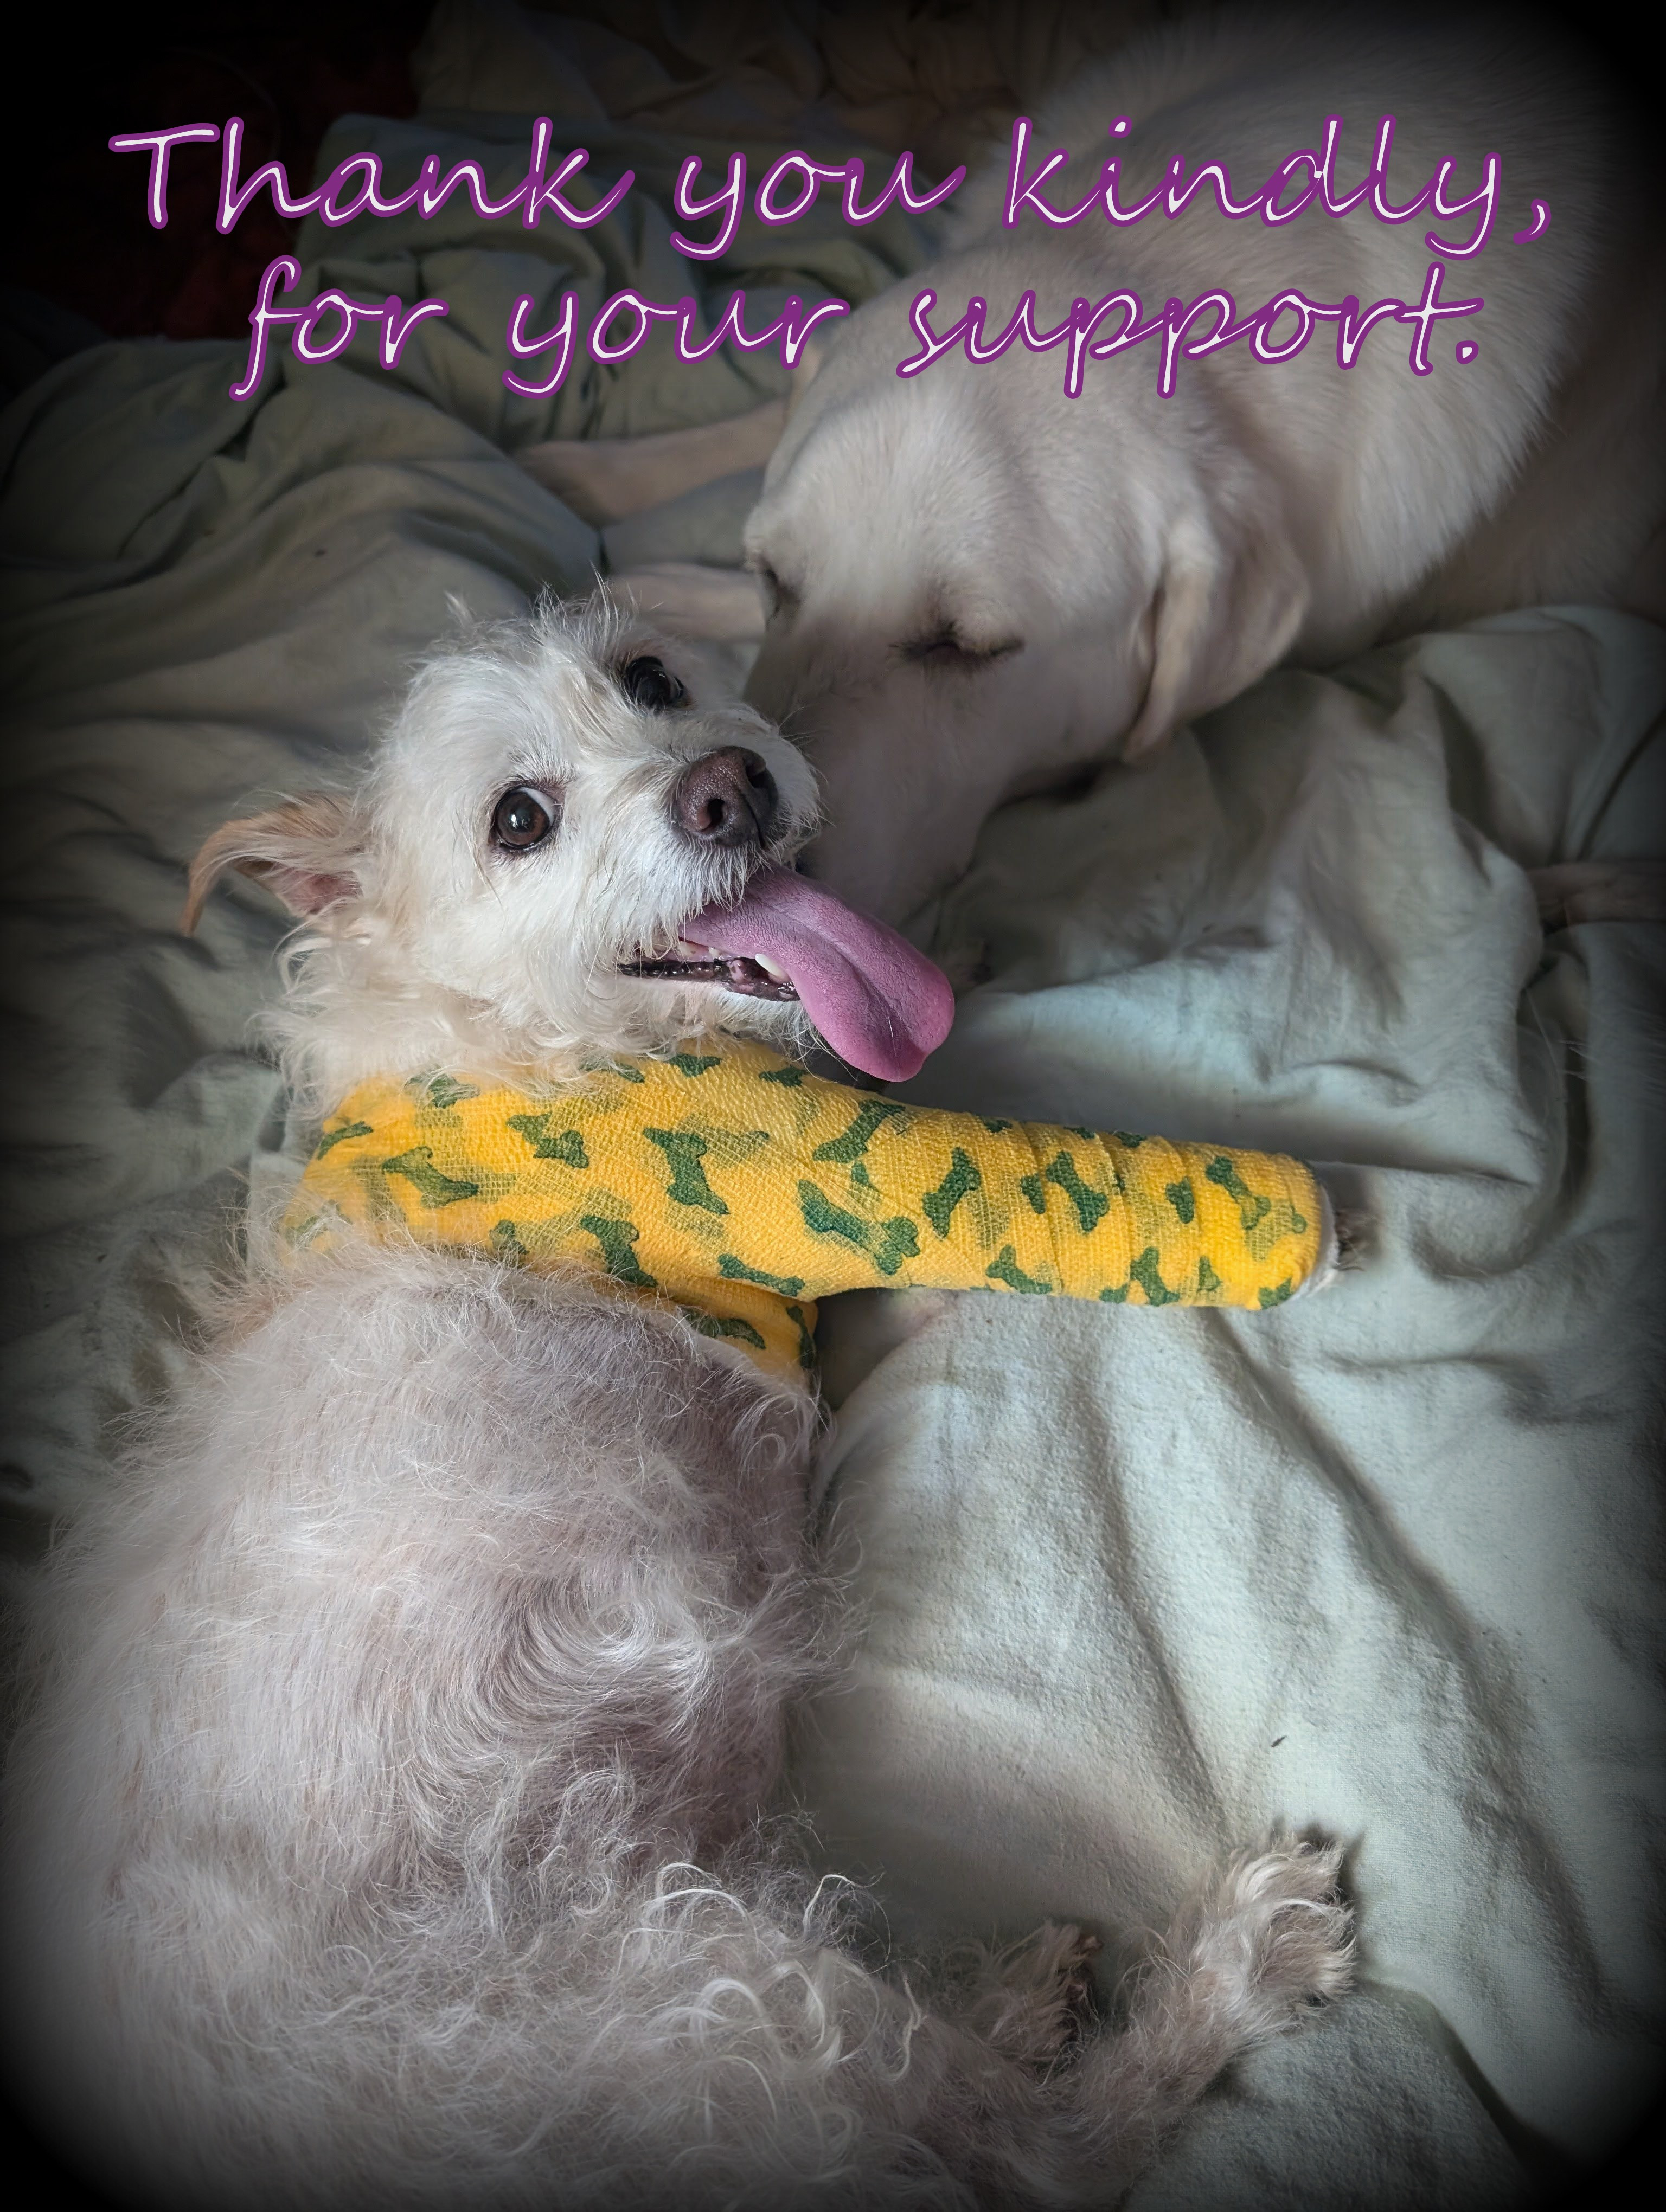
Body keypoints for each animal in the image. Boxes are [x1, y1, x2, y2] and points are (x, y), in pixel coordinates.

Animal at [1, 600, 1351, 2209]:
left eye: (649, 677)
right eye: (519, 819)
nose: (731, 786)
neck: (498, 1034)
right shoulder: (843, 1180)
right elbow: (1064, 1192)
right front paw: (1310, 1215)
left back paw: (1023, 1992)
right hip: (712, 2004)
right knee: (1037, 2150)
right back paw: (1231, 1962)